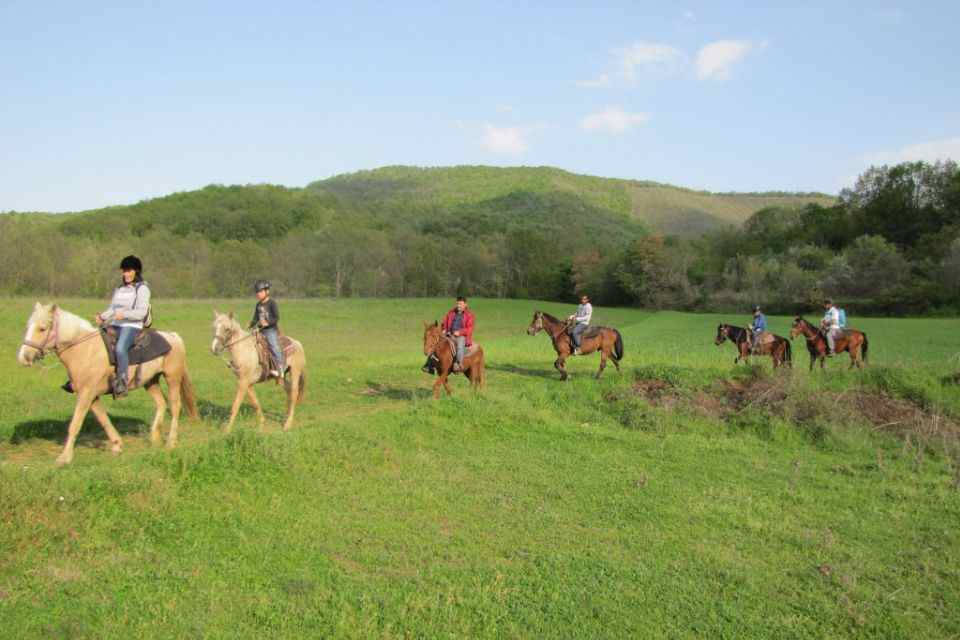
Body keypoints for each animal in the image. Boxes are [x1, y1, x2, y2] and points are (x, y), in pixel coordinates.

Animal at [18, 302, 199, 464]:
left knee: (175, 406)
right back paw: (154, 438)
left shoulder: (86, 394)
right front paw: (117, 445)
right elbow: (104, 419)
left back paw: (171, 442)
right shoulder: (92, 396)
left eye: (42, 328)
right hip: (150, 381)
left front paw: (64, 457)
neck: (84, 350)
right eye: (27, 326)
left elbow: (75, 424)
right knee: (161, 404)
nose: (23, 357)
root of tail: (173, 337)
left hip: (172, 378)